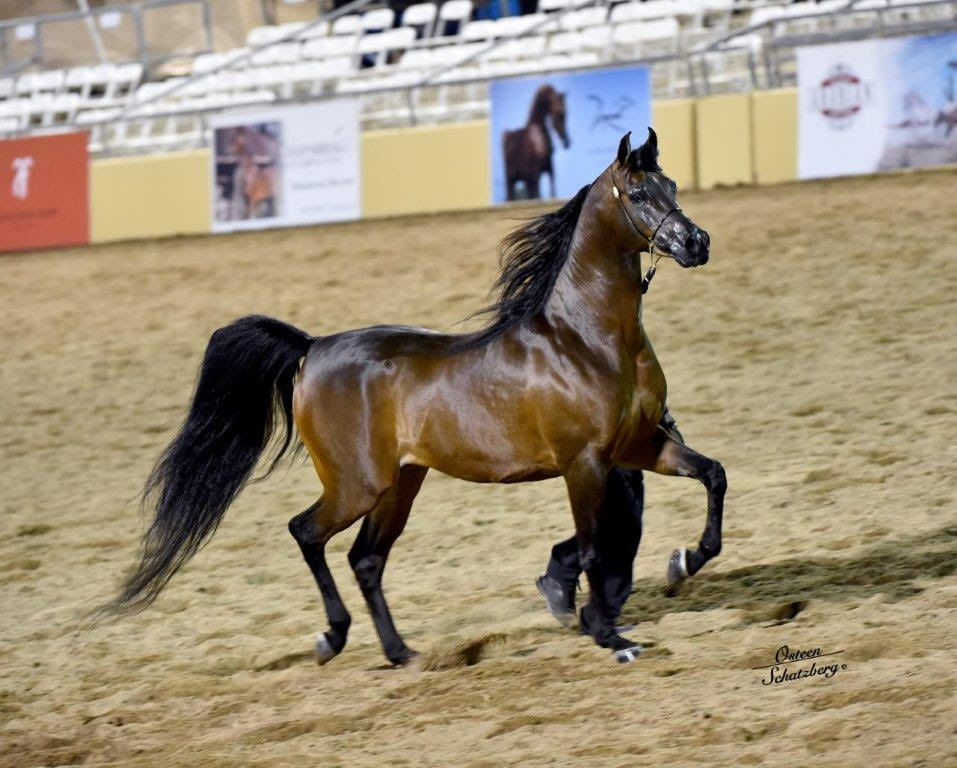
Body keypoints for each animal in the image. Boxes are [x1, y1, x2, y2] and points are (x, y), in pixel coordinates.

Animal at [102, 128, 724, 665]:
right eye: (638, 193)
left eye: (672, 186)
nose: (697, 242)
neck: (585, 340)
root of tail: (313, 348)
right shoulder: (585, 463)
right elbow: (596, 545)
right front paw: (611, 636)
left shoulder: (640, 445)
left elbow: (710, 476)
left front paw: (684, 560)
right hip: (357, 485)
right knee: (307, 533)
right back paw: (333, 637)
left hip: (399, 483)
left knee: (366, 559)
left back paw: (401, 652)